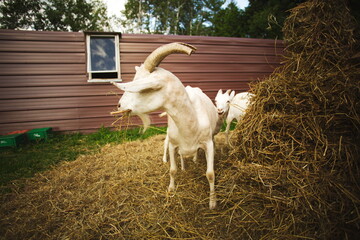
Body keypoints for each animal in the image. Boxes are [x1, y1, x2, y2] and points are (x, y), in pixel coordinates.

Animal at [111, 42, 219, 209]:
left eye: (143, 88)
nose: (119, 105)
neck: (190, 123)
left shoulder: (208, 143)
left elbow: (210, 174)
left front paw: (212, 202)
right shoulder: (173, 145)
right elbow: (173, 170)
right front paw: (170, 190)